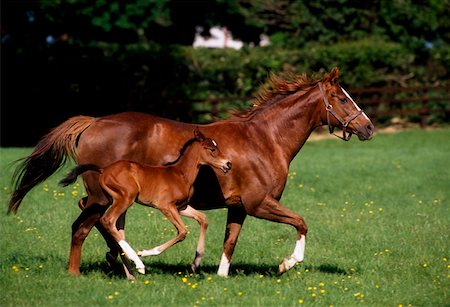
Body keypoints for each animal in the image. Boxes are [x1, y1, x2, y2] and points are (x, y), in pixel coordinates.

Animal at [58, 130, 230, 274]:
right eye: (212, 149)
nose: (228, 164)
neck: (180, 174)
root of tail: (103, 169)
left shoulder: (182, 207)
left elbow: (203, 219)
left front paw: (196, 262)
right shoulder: (165, 206)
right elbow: (182, 232)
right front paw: (145, 252)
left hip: (108, 198)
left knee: (88, 207)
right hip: (126, 197)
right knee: (108, 219)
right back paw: (138, 263)